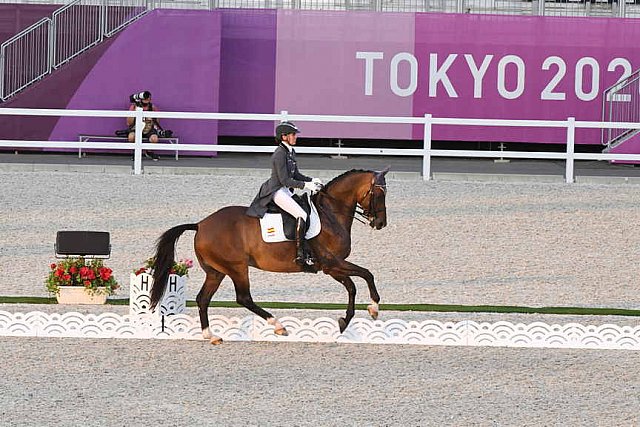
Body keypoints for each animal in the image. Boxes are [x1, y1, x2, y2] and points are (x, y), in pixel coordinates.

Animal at [150, 168, 390, 344]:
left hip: (216, 271)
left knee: (203, 299)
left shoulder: (331, 268)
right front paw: (372, 309)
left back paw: (211, 336)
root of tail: (200, 224)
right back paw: (278, 326)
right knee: (243, 298)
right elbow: (365, 276)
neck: (331, 213)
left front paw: (346, 320)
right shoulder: (332, 264)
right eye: (379, 194)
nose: (380, 223)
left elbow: (354, 285)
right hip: (237, 268)